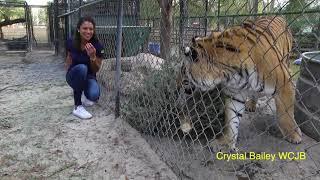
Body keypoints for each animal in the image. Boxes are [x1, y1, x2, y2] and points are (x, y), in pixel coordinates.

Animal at [181, 16, 302, 153]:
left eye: (183, 72)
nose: (180, 85)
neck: (230, 73)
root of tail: (279, 16)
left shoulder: (285, 82)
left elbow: (285, 113)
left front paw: (294, 134)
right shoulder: (235, 94)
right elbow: (231, 119)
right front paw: (225, 142)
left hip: (286, 61)